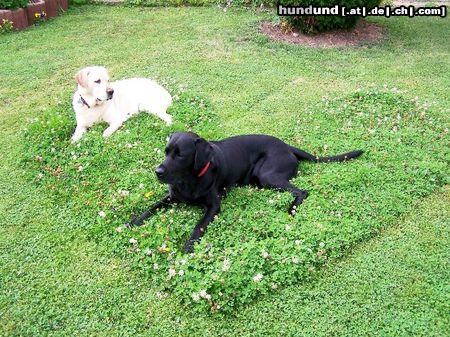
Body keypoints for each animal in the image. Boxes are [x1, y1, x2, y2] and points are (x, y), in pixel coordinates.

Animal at [130, 132, 362, 252]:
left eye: (180, 155)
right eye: (166, 151)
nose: (158, 172)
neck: (189, 180)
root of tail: (287, 146)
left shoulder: (214, 206)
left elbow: (199, 226)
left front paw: (188, 246)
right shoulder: (171, 197)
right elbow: (150, 208)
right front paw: (132, 222)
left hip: (267, 175)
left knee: (302, 192)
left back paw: (292, 210)